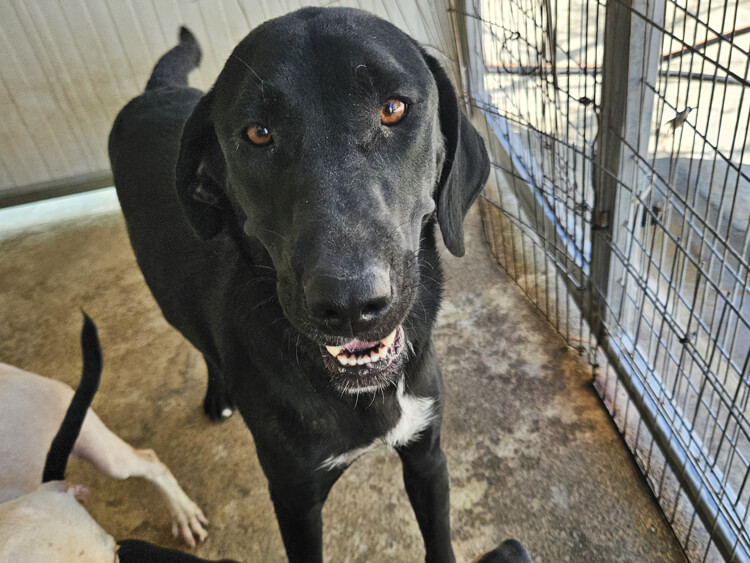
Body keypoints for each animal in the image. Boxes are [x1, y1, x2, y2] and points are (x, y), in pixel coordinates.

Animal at [110, 7, 512, 560]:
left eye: (393, 109)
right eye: (258, 133)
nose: (350, 304)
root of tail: (154, 92)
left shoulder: (427, 455)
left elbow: (439, 539)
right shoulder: (295, 498)